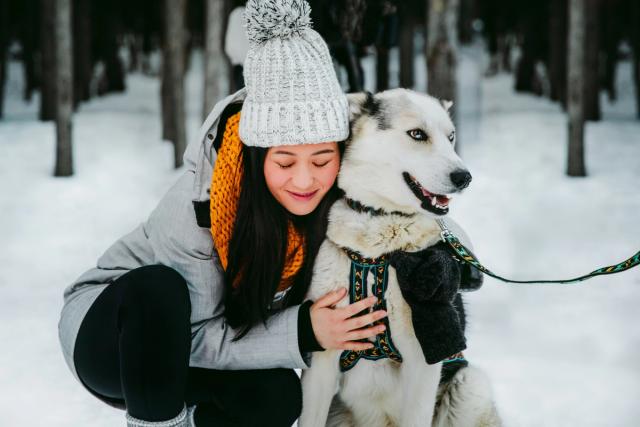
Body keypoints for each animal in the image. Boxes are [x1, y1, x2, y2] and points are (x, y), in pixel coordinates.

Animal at [298, 88, 502, 426]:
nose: (464, 177)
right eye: (417, 134)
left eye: (451, 137)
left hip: (471, 386)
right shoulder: (323, 359)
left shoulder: (422, 360)